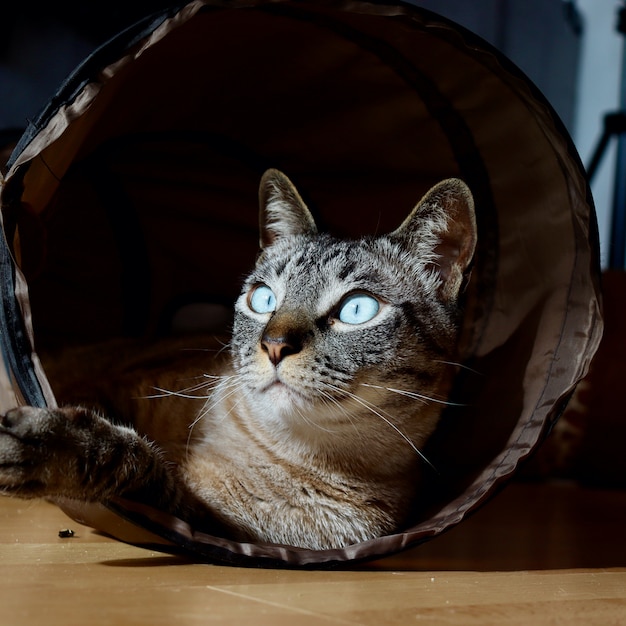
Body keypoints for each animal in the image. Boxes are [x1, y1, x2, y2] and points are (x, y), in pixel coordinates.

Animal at [0, 168, 472, 548]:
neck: (287, 453)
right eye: (263, 298)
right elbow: (117, 434)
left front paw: (43, 442)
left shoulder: (204, 521)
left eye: (357, 309)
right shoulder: (113, 389)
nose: (275, 344)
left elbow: (136, 461)